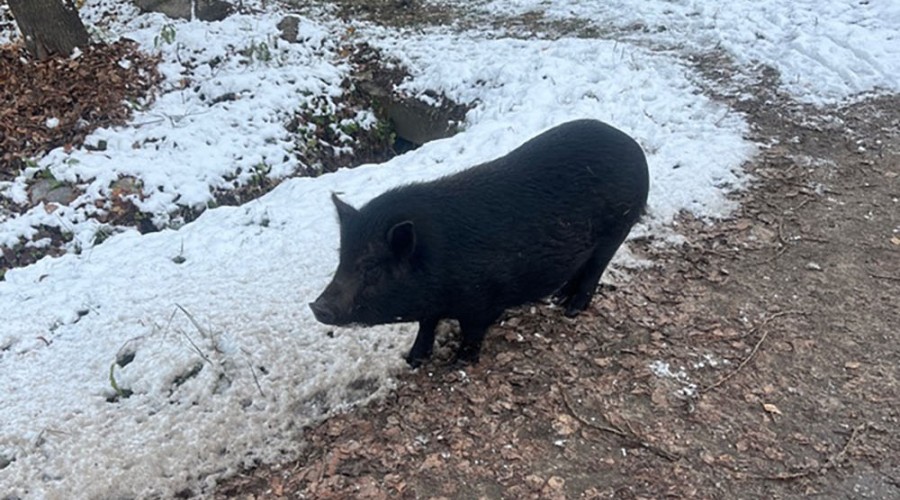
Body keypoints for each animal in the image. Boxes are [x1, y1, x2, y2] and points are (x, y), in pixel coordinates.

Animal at [310, 118, 648, 366]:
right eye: (342, 259)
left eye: (372, 267)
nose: (317, 306)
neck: (436, 260)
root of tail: (633, 146)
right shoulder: (432, 305)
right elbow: (426, 325)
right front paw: (413, 360)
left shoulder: (481, 301)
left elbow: (471, 331)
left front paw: (458, 363)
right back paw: (558, 298)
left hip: (617, 229)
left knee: (594, 270)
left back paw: (571, 310)